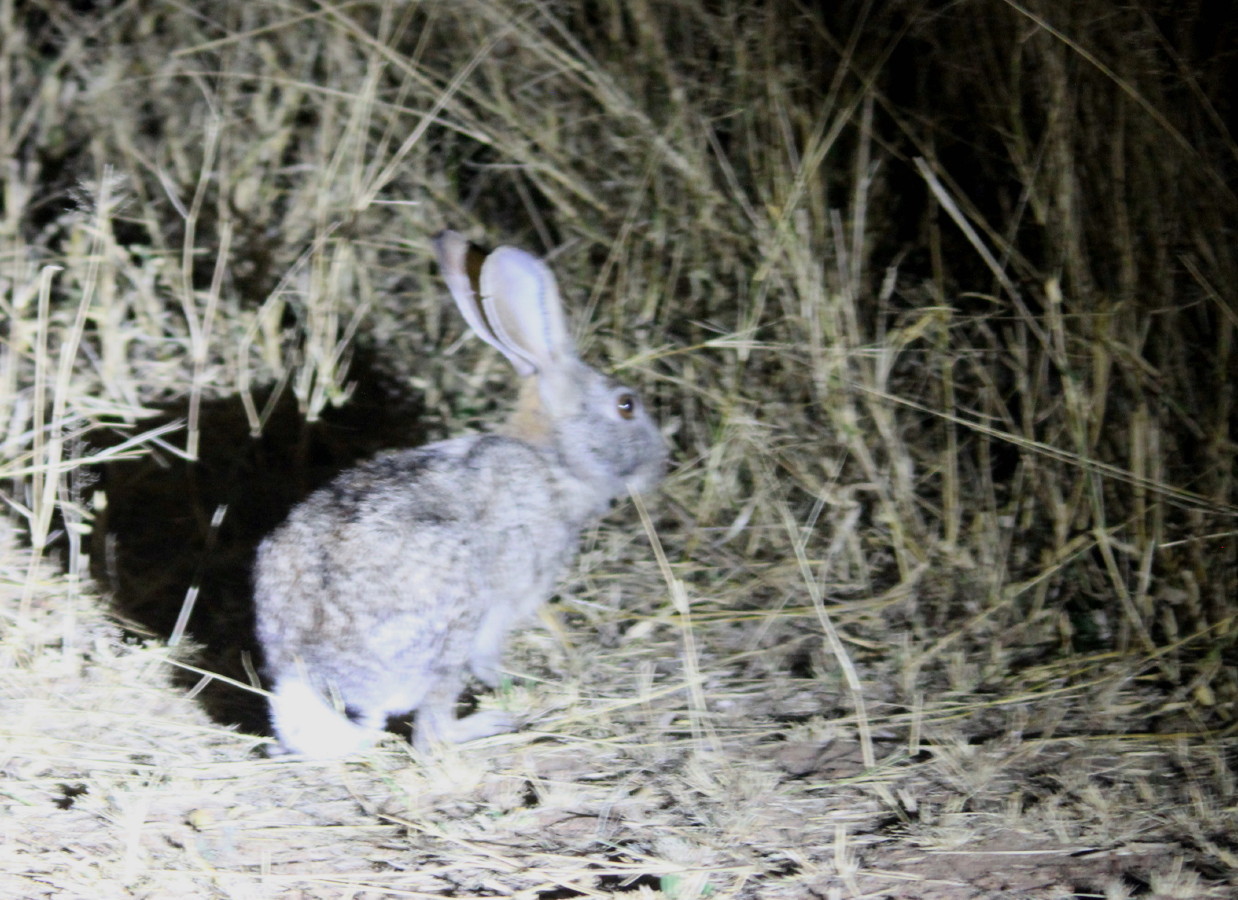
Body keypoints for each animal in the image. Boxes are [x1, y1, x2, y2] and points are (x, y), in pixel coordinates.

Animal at [250, 229, 668, 757]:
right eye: (626, 405)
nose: (661, 464)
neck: (554, 460)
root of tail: (328, 678)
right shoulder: (511, 598)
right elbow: (489, 655)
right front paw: (512, 680)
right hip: (452, 628)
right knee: (432, 734)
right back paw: (497, 720)